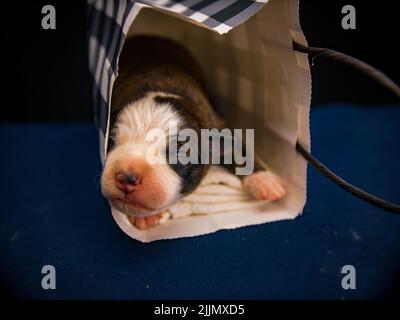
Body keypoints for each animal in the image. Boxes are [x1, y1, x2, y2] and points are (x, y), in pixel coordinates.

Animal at [101, 36, 286, 229]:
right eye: (111, 142)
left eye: (179, 153)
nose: (127, 177)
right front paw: (144, 217)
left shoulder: (217, 124)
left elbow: (239, 148)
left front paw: (264, 180)